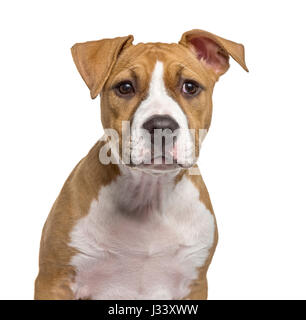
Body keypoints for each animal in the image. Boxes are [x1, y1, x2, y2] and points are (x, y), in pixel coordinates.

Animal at [34, 30, 247, 300]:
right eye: (125, 87)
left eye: (190, 87)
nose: (162, 126)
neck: (149, 195)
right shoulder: (54, 280)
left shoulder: (195, 284)